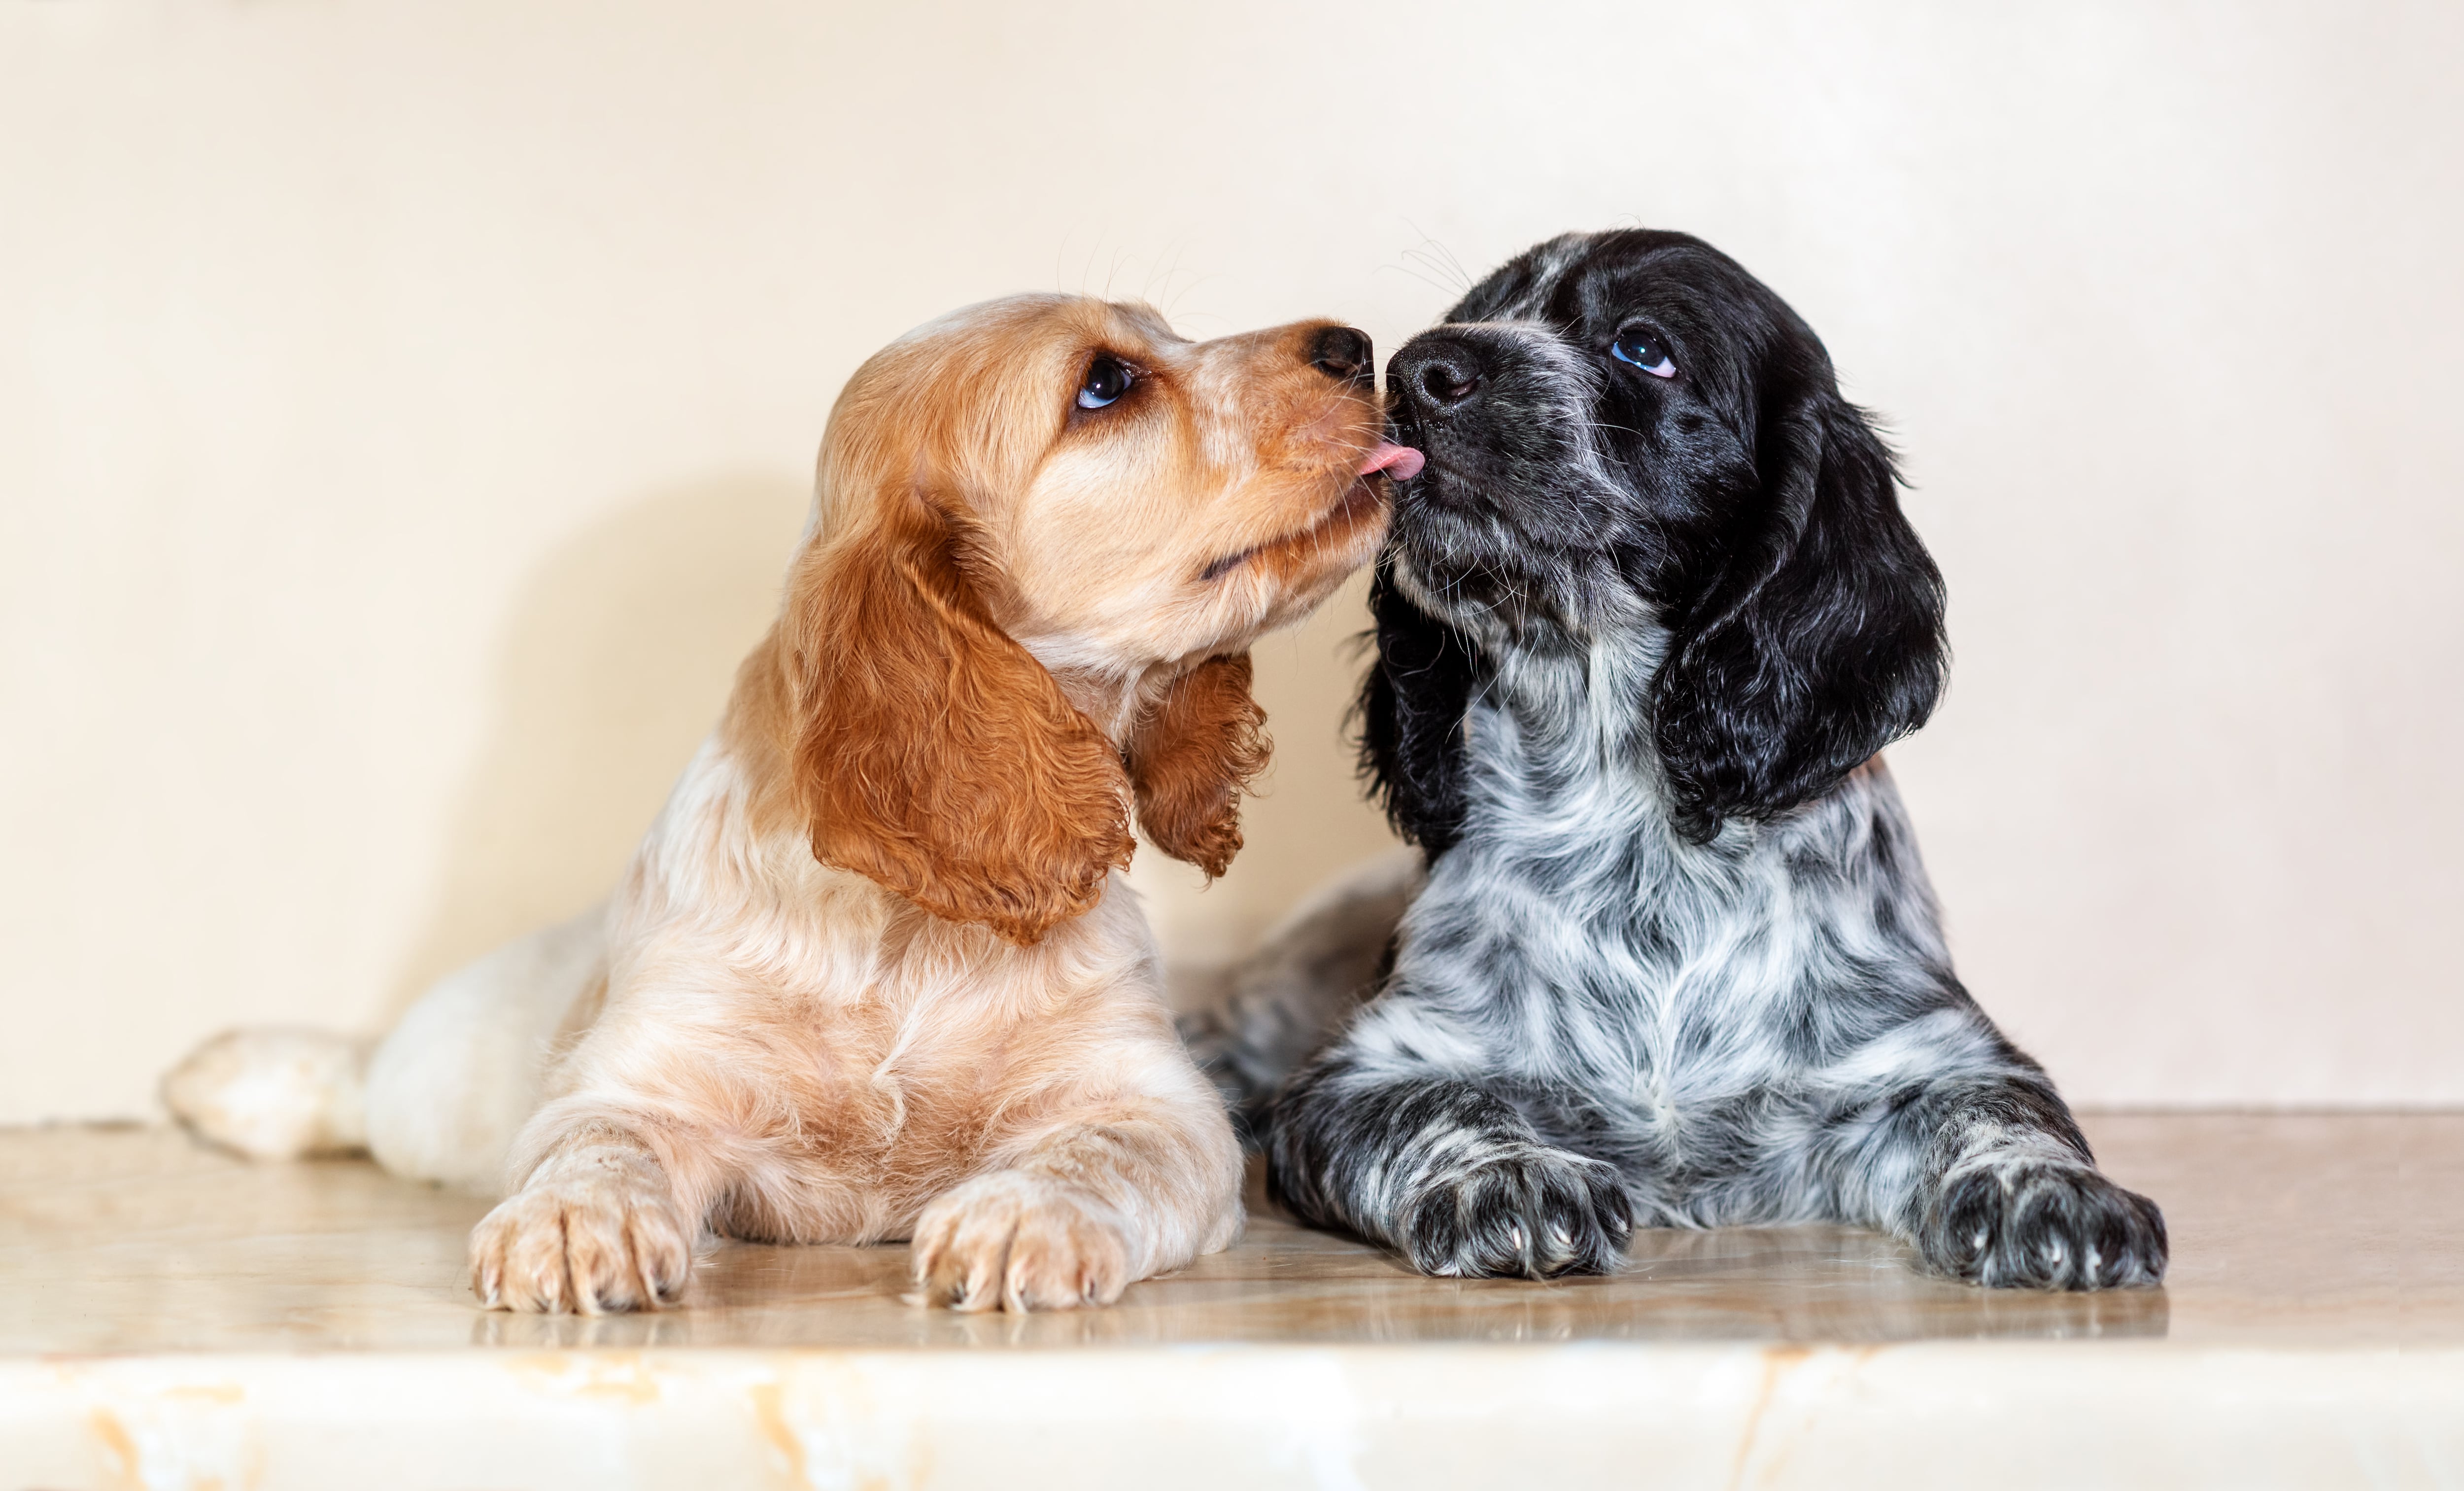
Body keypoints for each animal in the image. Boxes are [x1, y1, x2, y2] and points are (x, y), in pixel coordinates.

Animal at [1222, 229, 2168, 1291]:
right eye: (1474, 317)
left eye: (1645, 349)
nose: (1416, 368)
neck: (1630, 823)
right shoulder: (1366, 1070)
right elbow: (1440, 1107)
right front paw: (1506, 1177)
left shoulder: (1930, 1056)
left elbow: (1998, 1112)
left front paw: (2050, 1192)